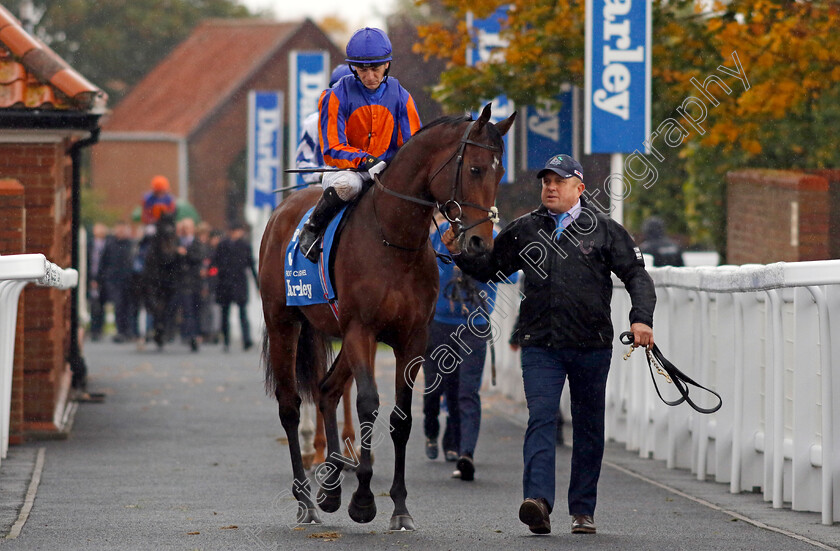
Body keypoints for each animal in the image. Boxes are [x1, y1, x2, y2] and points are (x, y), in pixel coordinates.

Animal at [260, 103, 516, 532]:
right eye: (476, 168)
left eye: (500, 173)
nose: (481, 243)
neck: (394, 240)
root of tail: (283, 210)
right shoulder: (362, 331)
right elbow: (368, 403)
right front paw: (363, 500)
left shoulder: (411, 339)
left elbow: (401, 418)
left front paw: (398, 506)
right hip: (285, 324)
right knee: (290, 405)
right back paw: (306, 500)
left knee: (327, 390)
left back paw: (330, 487)